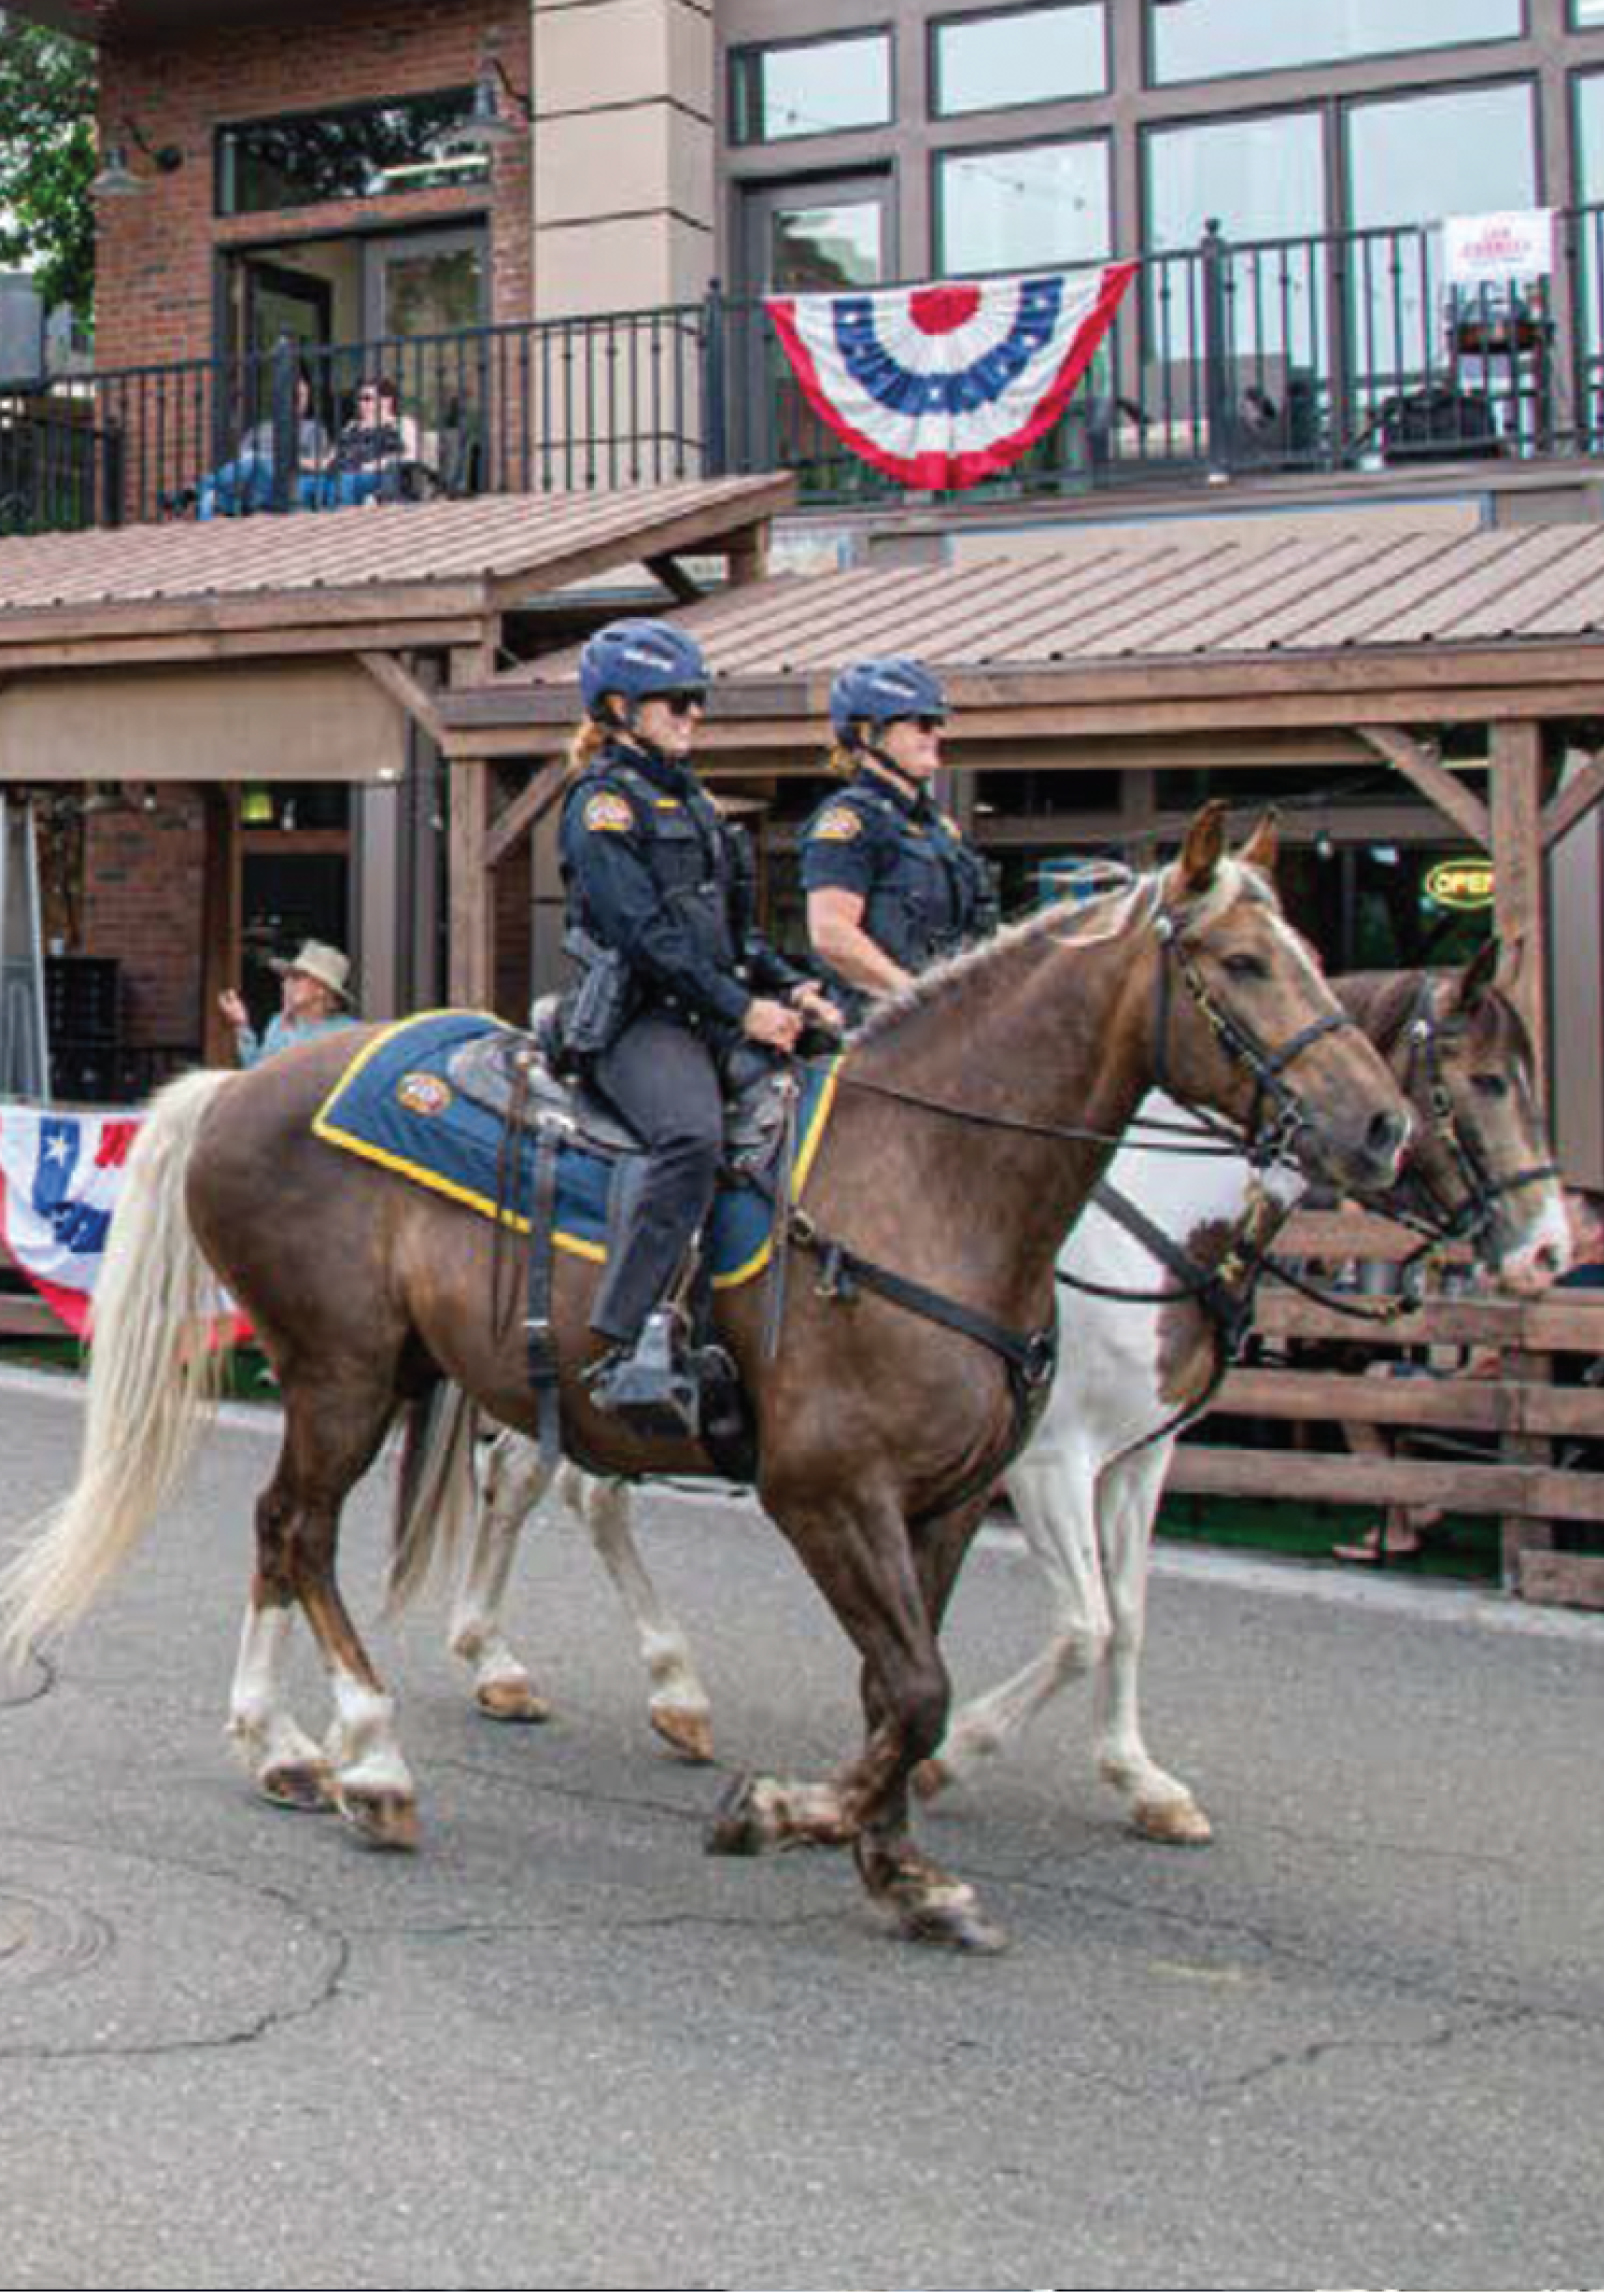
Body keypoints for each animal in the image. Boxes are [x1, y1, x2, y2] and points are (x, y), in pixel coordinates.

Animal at [0, 805, 1414, 1952]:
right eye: (1240, 964)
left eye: (1305, 952)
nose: (1381, 1127)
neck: (929, 1183)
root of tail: (246, 1082)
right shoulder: (838, 1489)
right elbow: (933, 1684)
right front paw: (792, 1812)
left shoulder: (963, 1496)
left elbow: (919, 1686)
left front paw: (898, 1861)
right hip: (341, 1373)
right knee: (301, 1530)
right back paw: (372, 1758)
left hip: (392, 1373)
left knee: (295, 1533)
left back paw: (285, 1743)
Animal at [416, 945, 1568, 1829]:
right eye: (1484, 1080)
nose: (1551, 1249)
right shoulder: (1051, 1461)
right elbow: (1082, 1624)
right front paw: (951, 1753)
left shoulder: (1139, 1455)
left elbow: (1126, 1614)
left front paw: (1138, 1778)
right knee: (560, 1488)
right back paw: (611, 1678)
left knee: (539, 1481)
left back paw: (533, 1665)